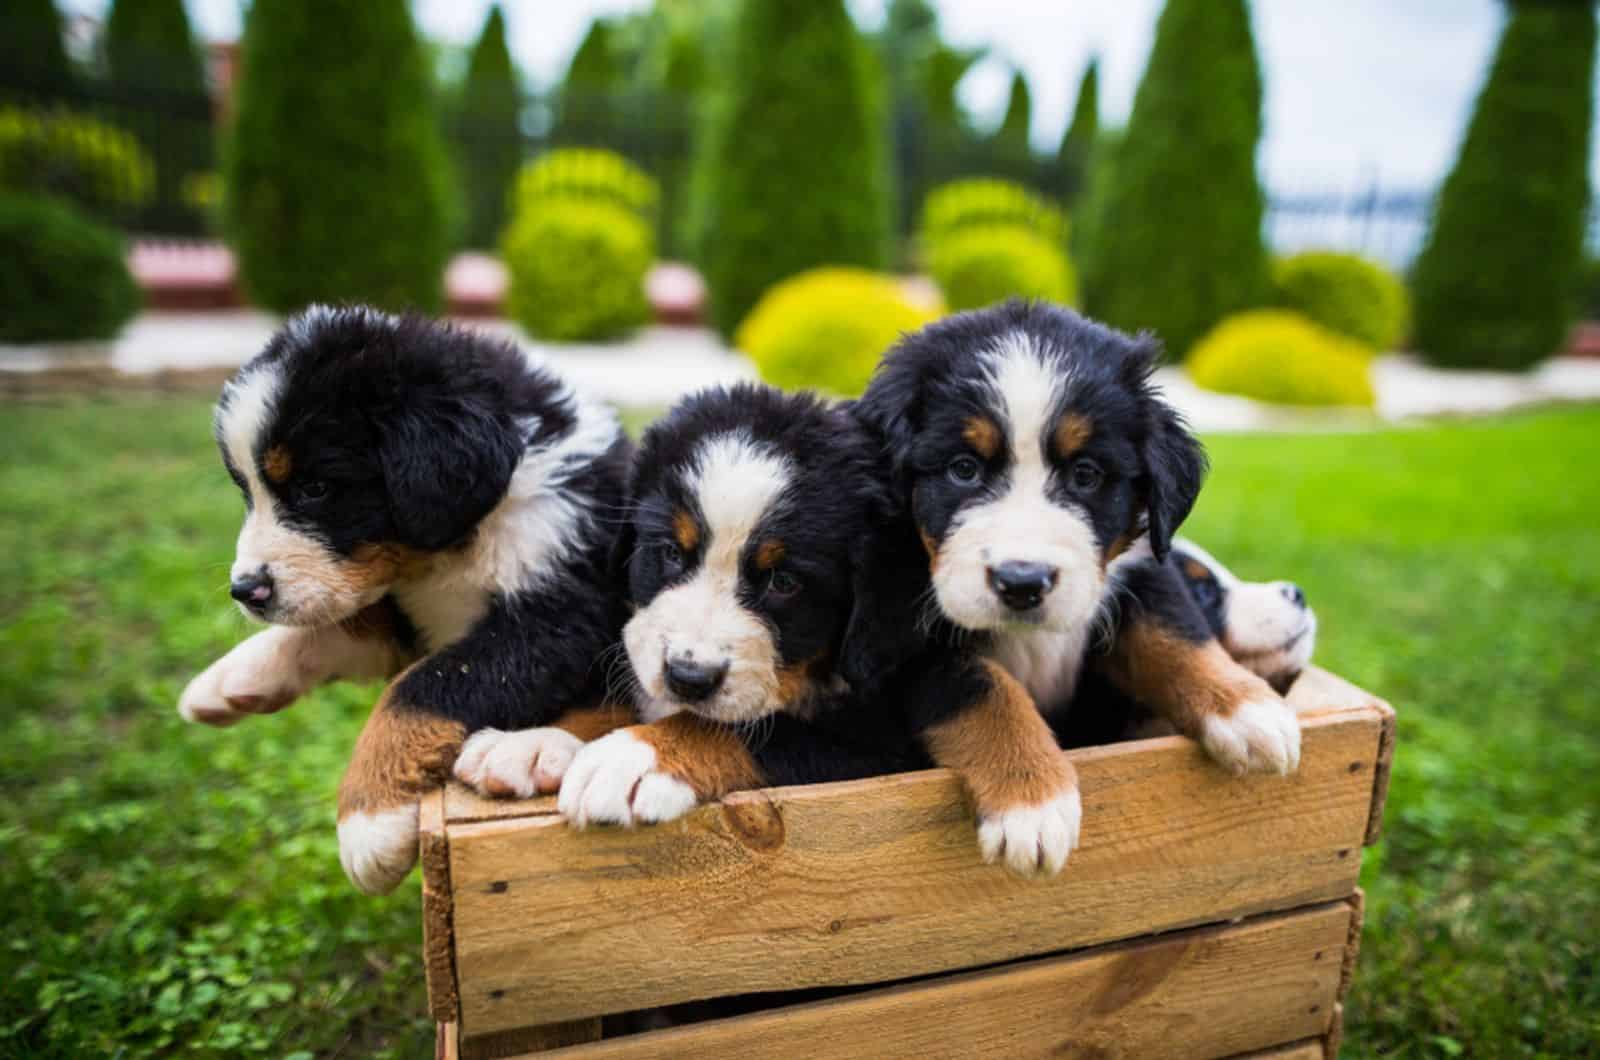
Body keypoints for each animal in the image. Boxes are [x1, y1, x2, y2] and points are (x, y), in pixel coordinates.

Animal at [173, 305, 624, 896]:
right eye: (248, 493)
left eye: (316, 489)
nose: (246, 591)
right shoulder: (409, 616)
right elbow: (335, 631)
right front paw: (231, 678)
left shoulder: (558, 618)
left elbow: (418, 690)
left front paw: (368, 823)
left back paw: (523, 750)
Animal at [851, 301, 1299, 877]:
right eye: (963, 469)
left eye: (1086, 474)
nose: (1022, 582)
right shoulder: (908, 637)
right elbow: (987, 689)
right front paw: (1031, 802)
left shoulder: (1140, 569)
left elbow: (1175, 635)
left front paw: (1246, 708)